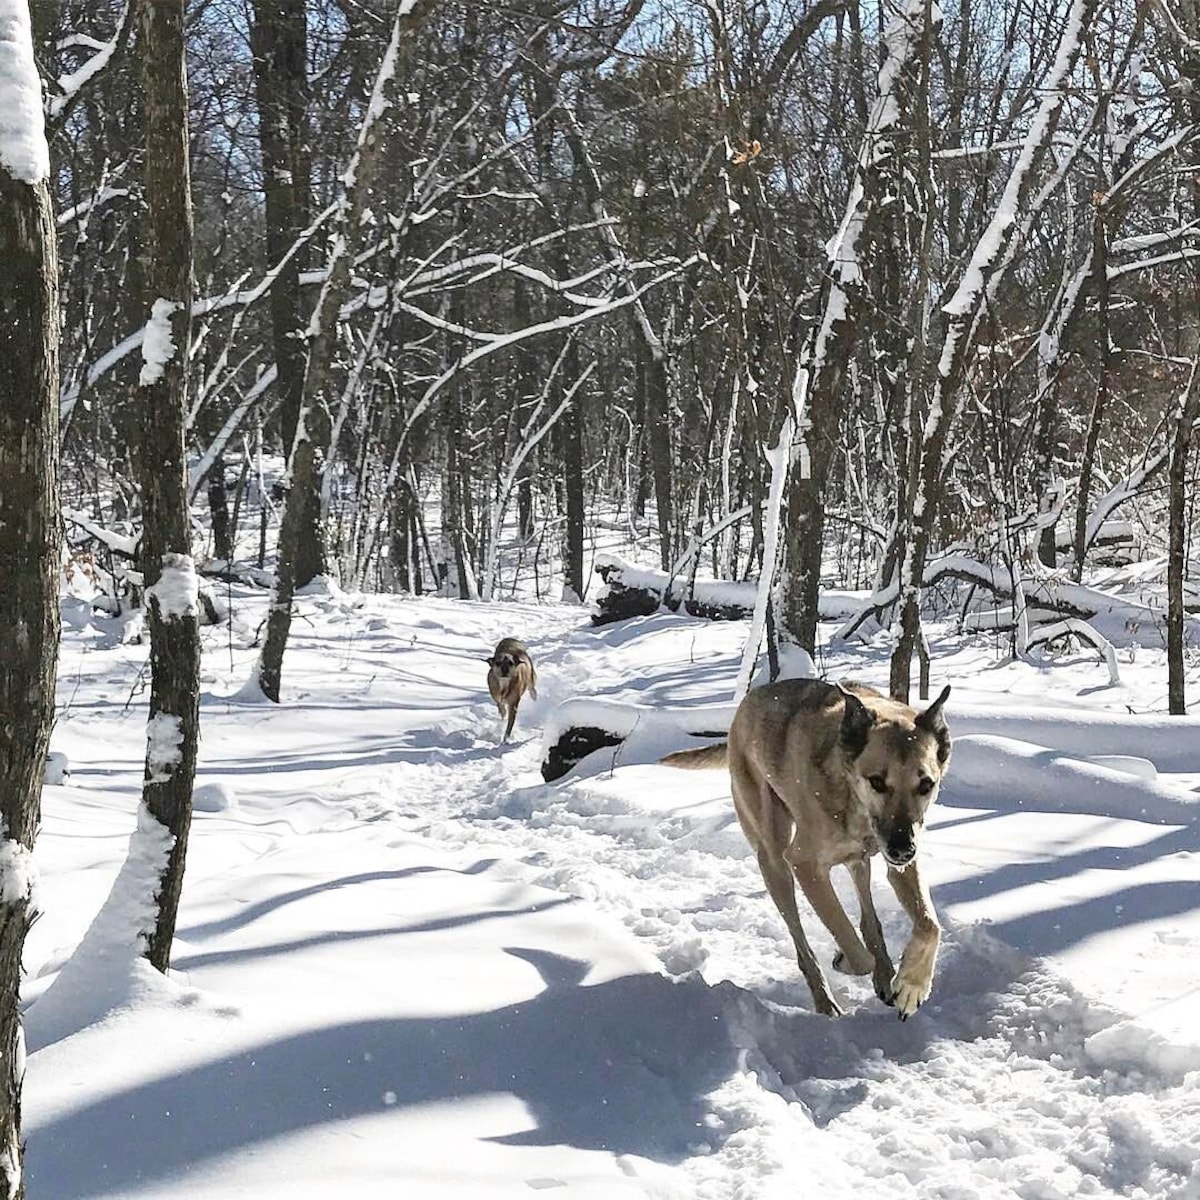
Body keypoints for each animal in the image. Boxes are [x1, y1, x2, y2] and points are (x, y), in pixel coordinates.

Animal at [662, 681, 950, 1017]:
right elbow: (851, 944)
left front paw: (911, 985)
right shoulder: (805, 865)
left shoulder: (901, 864)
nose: (903, 849)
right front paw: (846, 959)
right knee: (803, 944)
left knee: (868, 913)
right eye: (877, 781)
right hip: (774, 860)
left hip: (857, 862)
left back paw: (883, 971)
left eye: (926, 784)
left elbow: (930, 925)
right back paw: (827, 999)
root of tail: (746, 704)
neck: (852, 799)